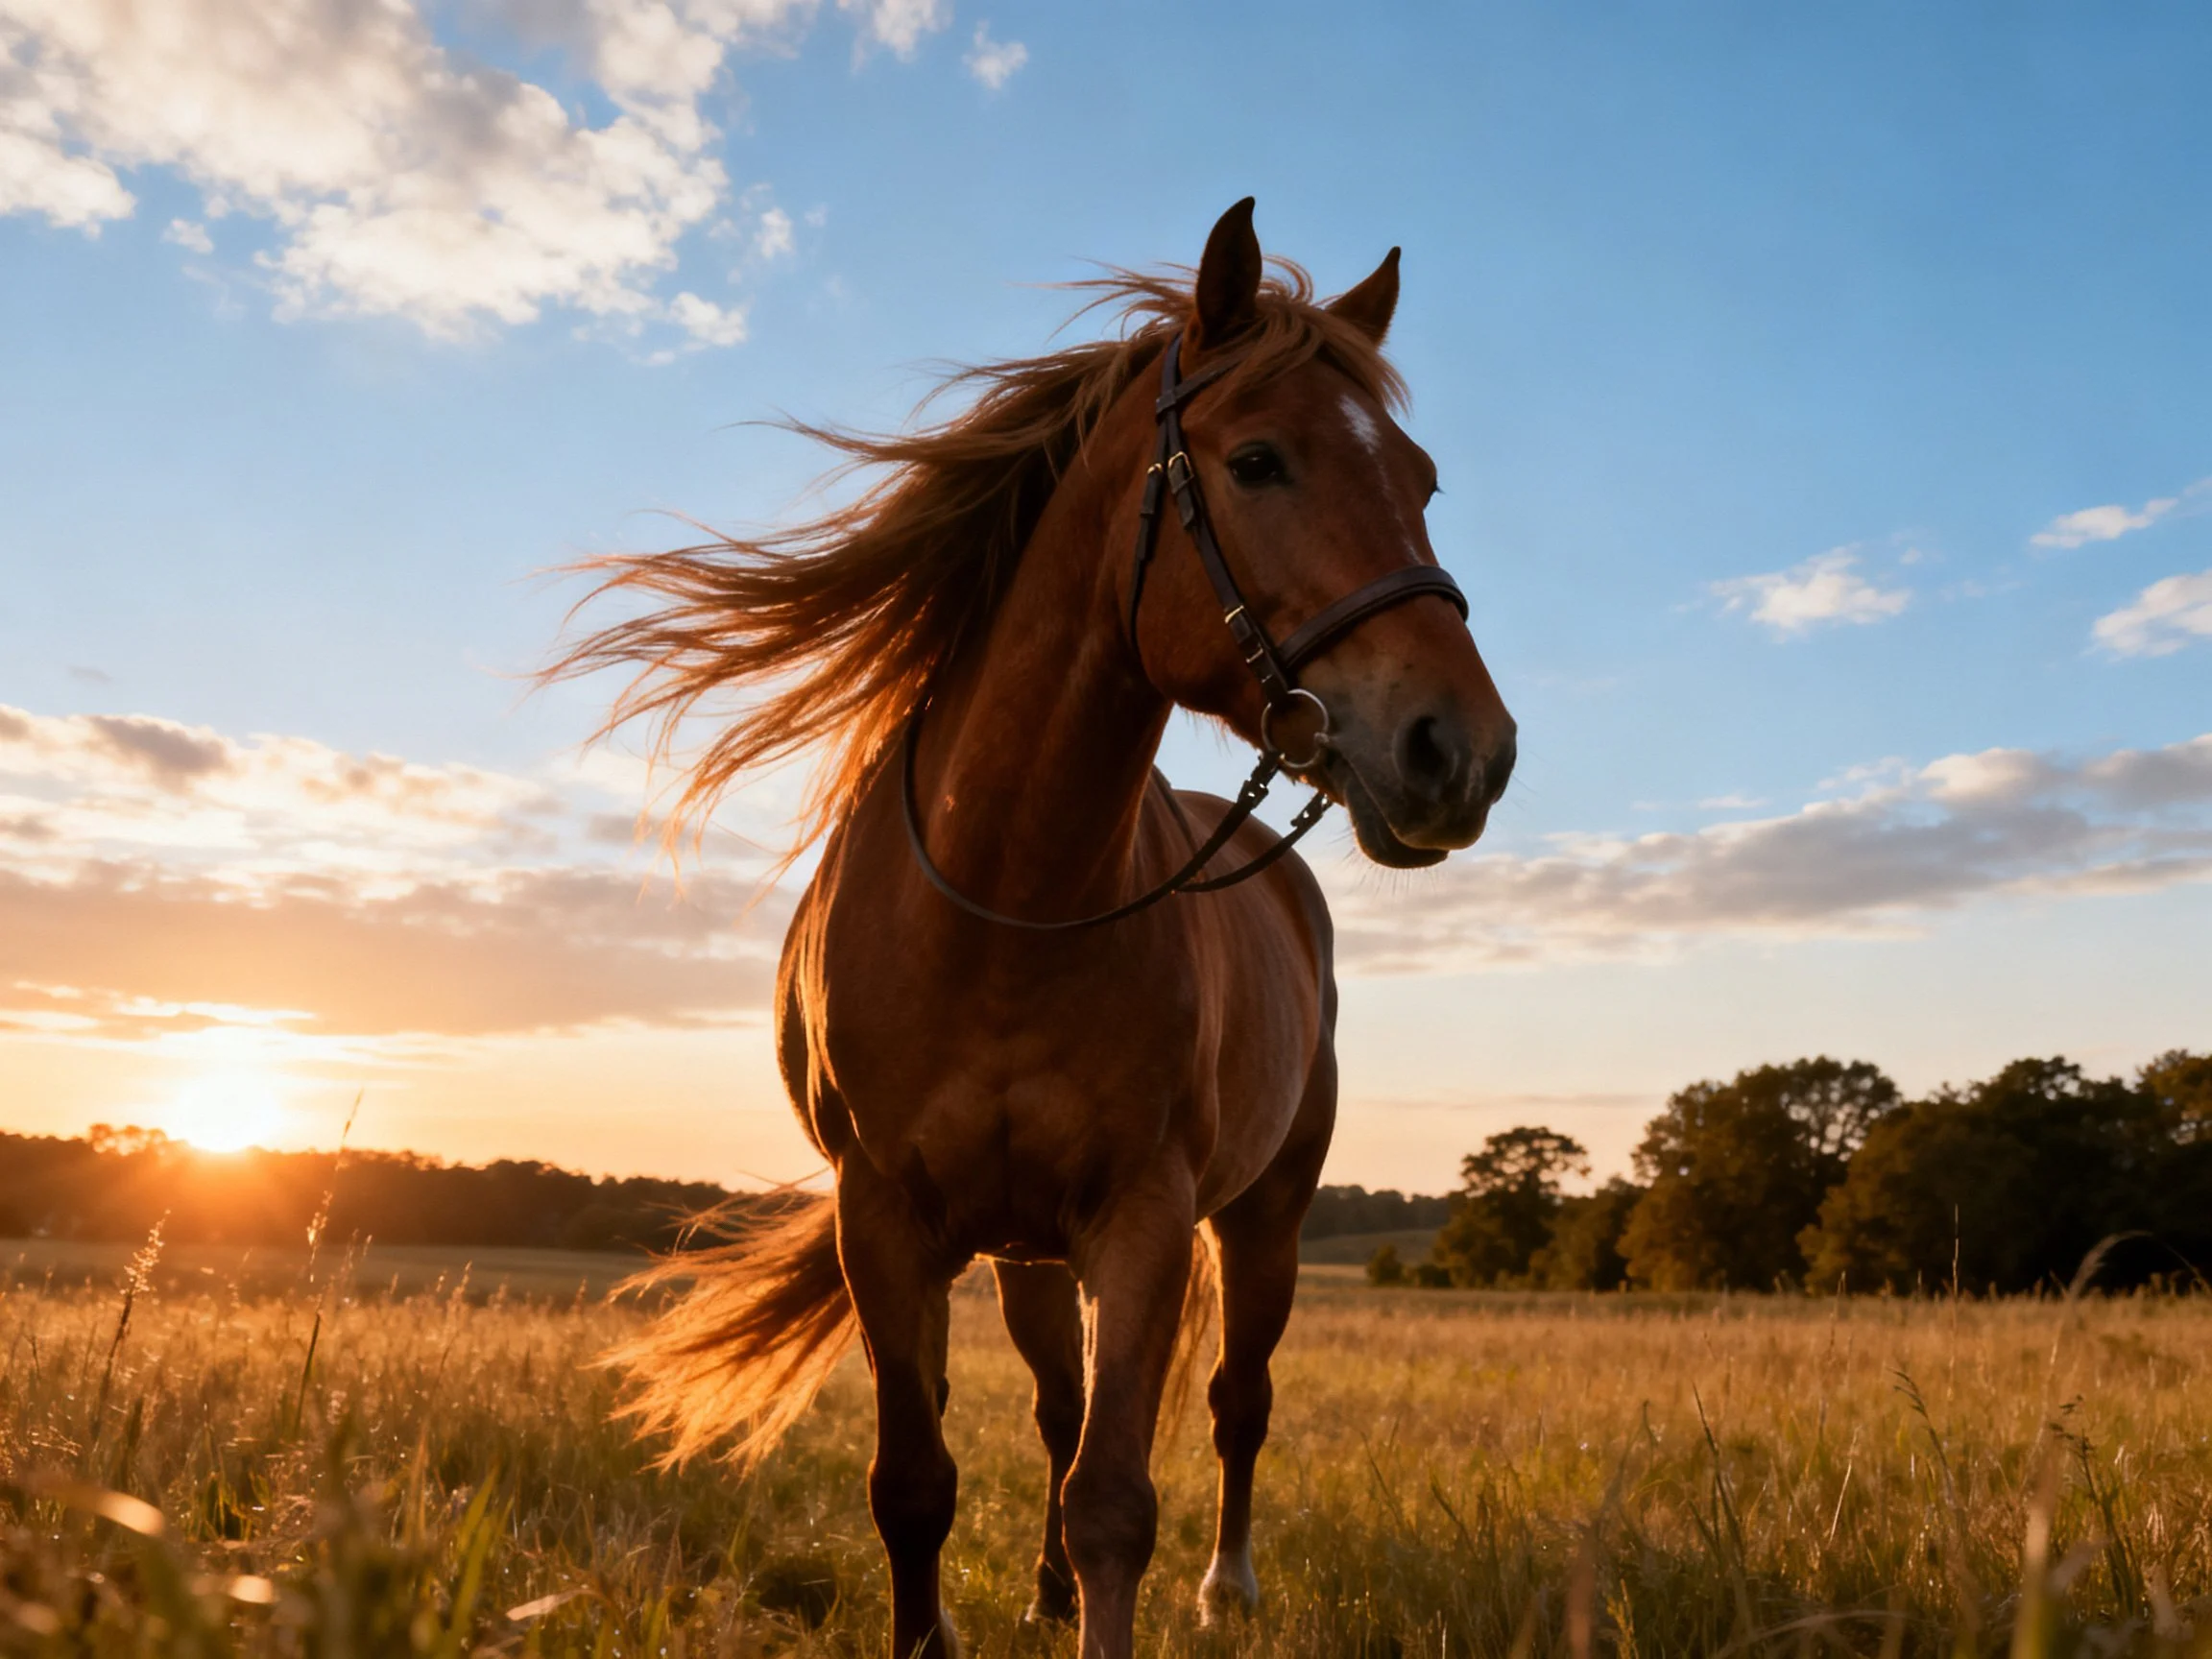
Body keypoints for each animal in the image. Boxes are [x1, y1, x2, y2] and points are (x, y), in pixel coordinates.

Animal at [555, 199, 1516, 1659]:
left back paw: (1226, 1588)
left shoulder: (1145, 1218)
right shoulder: (887, 1220)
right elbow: (917, 1482)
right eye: (1258, 461)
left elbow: (1116, 1495)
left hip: (1266, 1218)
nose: (1463, 754)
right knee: (1058, 1412)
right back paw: (1046, 1588)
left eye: (1419, 478)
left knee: (1236, 1404)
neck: (1011, 905)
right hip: (1026, 1254)